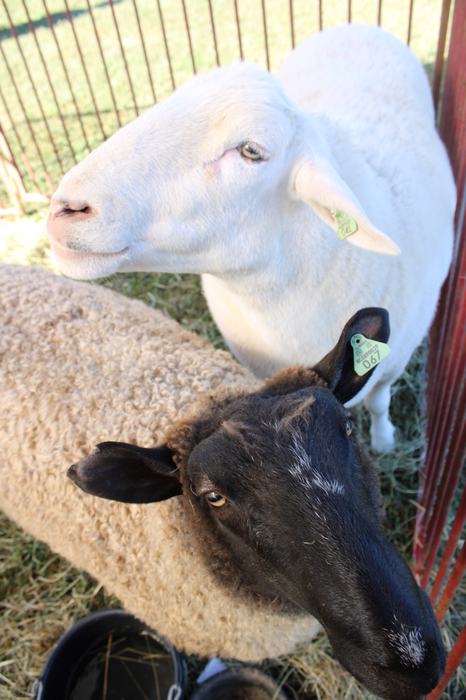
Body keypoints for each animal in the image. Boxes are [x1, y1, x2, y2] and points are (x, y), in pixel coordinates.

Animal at [46, 24, 456, 454]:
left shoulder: (393, 361)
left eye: (251, 151)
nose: (65, 208)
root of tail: (358, 26)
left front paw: (384, 441)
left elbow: (379, 401)